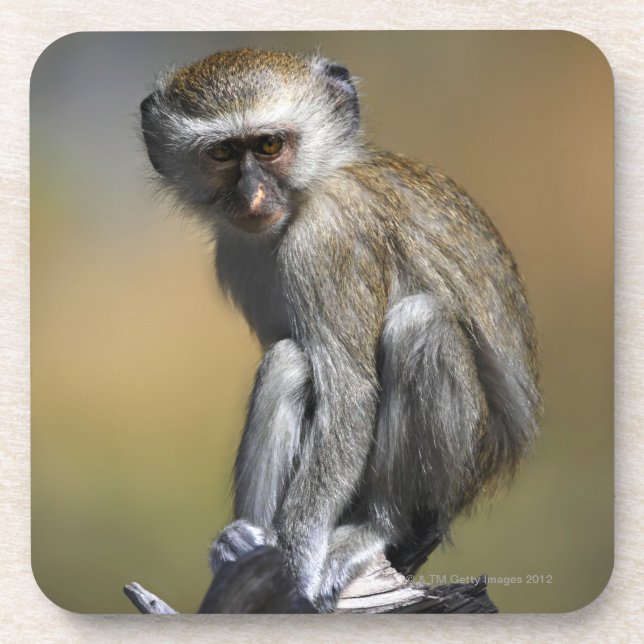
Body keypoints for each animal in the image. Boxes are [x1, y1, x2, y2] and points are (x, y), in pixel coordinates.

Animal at [140, 48, 541, 612]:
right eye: (222, 153)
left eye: (269, 146)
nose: (252, 197)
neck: (308, 194)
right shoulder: (236, 254)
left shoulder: (326, 239)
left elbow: (350, 392)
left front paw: (295, 569)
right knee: (289, 361)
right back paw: (242, 542)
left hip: (462, 470)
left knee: (419, 326)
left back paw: (378, 526)